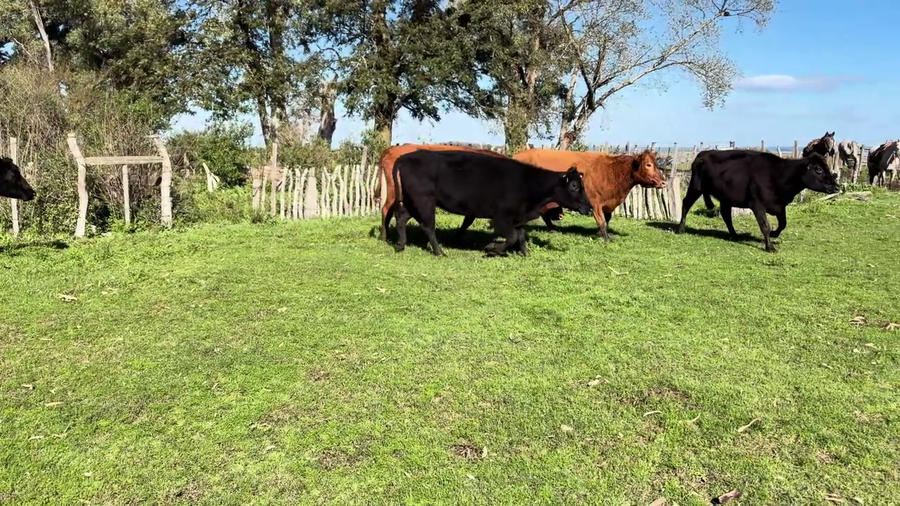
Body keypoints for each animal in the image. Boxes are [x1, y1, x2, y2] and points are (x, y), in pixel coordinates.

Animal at [375, 143, 561, 240]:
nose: (560, 215)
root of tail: (393, 149)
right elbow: (468, 221)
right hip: (394, 191)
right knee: (386, 209)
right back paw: (384, 236)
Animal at [390, 149, 593, 257]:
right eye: (575, 186)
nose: (590, 208)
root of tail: (406, 157)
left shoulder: (516, 218)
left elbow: (520, 235)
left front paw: (524, 253)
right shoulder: (502, 217)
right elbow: (512, 237)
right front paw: (492, 249)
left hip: (413, 201)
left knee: (401, 218)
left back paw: (400, 245)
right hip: (425, 201)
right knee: (428, 226)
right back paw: (440, 252)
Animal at [506, 149, 666, 241]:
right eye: (648, 165)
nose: (663, 182)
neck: (612, 171)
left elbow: (606, 219)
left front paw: (599, 234)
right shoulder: (595, 202)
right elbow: (602, 221)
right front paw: (607, 238)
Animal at [675, 150, 839, 253]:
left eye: (827, 167)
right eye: (818, 169)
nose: (836, 186)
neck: (780, 175)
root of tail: (703, 153)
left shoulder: (780, 205)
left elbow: (783, 224)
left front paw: (774, 234)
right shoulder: (758, 204)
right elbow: (765, 226)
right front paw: (770, 247)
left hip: (725, 197)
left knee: (726, 215)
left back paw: (734, 235)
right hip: (695, 187)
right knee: (685, 204)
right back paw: (680, 229)